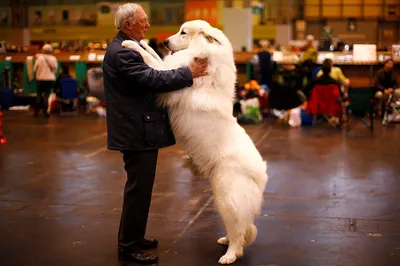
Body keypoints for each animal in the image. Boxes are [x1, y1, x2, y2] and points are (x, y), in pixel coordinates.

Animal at [120, 20, 268, 264]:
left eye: (183, 33)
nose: (165, 41)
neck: (205, 56)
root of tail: (261, 175)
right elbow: (156, 56)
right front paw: (142, 43)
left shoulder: (169, 79)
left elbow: (153, 62)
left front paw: (130, 45)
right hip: (221, 197)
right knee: (236, 227)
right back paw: (225, 241)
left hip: (227, 198)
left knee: (238, 232)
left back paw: (229, 255)